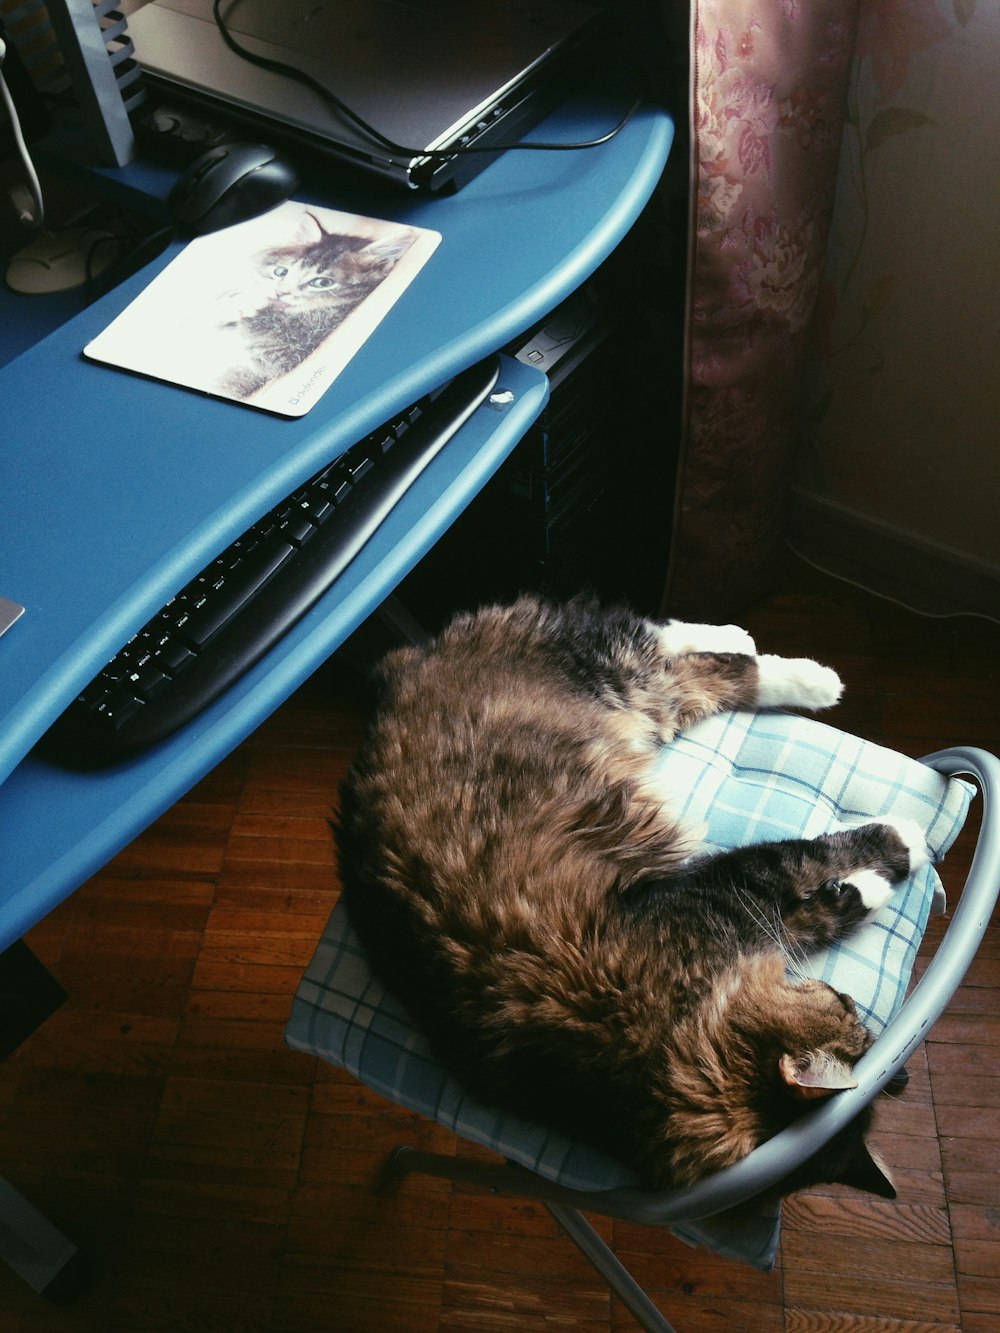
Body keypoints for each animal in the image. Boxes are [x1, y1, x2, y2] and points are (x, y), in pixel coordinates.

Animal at [338, 599, 933, 1194]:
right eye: (843, 1003)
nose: (857, 1007)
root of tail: (407, 661)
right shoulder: (733, 890)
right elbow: (819, 869)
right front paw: (903, 849)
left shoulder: (727, 906)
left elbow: (816, 902)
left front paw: (880, 870)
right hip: (629, 686)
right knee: (697, 660)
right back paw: (807, 674)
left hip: (630, 688)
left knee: (680, 648)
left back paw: (774, 655)